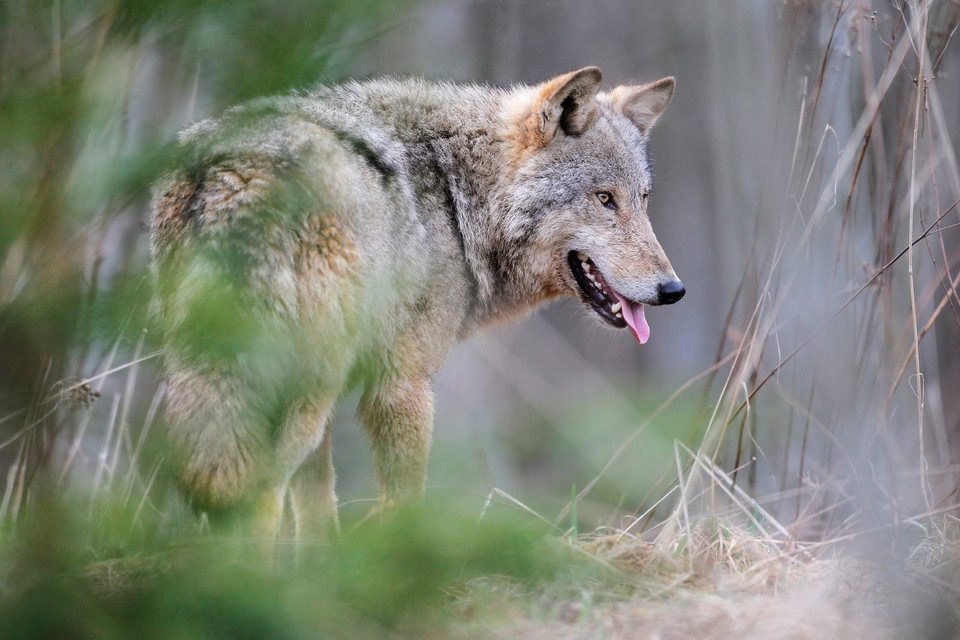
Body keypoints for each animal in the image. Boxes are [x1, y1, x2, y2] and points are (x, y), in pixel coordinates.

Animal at [150, 67, 684, 536]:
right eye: (604, 198)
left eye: (643, 198)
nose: (673, 290)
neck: (462, 201)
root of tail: (231, 174)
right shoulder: (402, 387)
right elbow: (404, 504)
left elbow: (318, 514)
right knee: (256, 498)